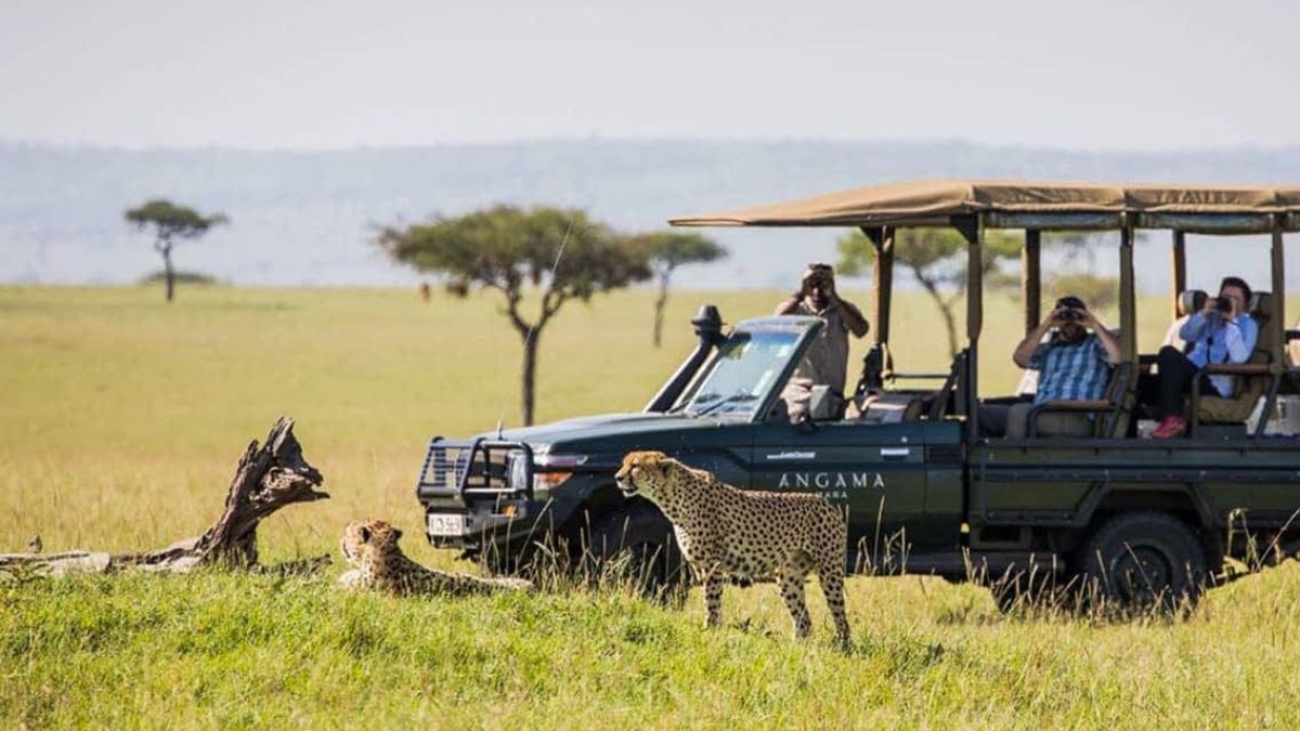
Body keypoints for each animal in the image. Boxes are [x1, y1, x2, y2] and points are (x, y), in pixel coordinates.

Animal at [616, 447, 852, 639]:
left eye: (635, 466)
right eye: (624, 463)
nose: (617, 477)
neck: (673, 498)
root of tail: (827, 503)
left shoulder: (712, 565)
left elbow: (711, 600)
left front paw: (709, 630)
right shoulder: (700, 566)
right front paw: (714, 630)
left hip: (829, 571)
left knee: (840, 615)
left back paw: (842, 645)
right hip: (788, 576)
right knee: (804, 621)